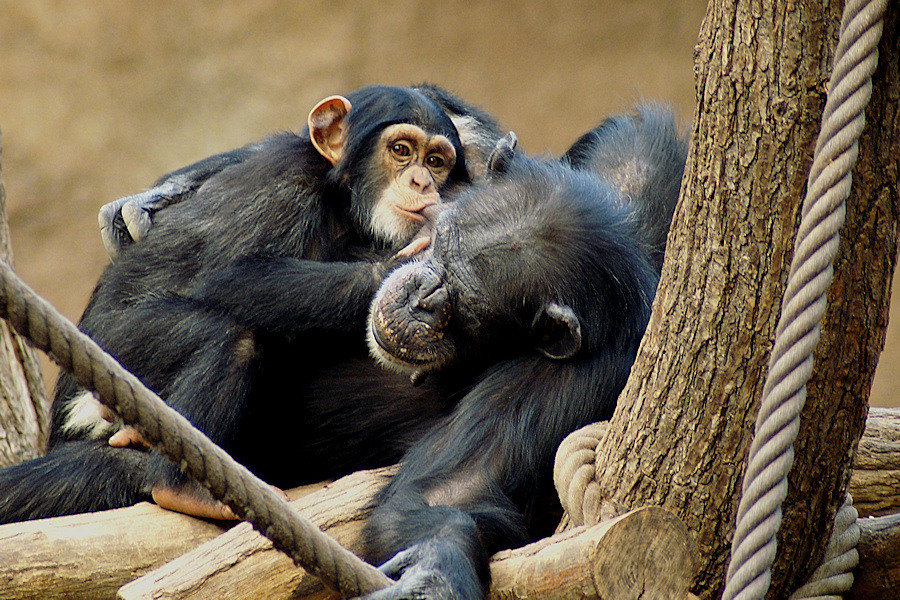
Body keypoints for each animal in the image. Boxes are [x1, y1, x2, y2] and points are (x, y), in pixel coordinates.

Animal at [0, 82, 500, 524]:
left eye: (435, 161)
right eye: (400, 150)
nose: (421, 180)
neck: (341, 200)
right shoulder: (286, 188)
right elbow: (234, 274)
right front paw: (405, 270)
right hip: (112, 357)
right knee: (227, 334)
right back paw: (184, 488)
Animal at [362, 105, 684, 596]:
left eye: (464, 307)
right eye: (441, 242)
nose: (422, 299)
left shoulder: (553, 381)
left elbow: (453, 491)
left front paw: (440, 567)